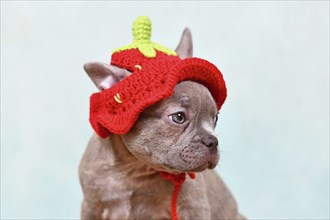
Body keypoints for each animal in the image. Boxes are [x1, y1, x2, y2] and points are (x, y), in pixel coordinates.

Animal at [79, 25, 245, 218]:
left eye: (215, 118)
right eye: (179, 117)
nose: (212, 141)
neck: (134, 169)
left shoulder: (193, 207)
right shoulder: (91, 206)